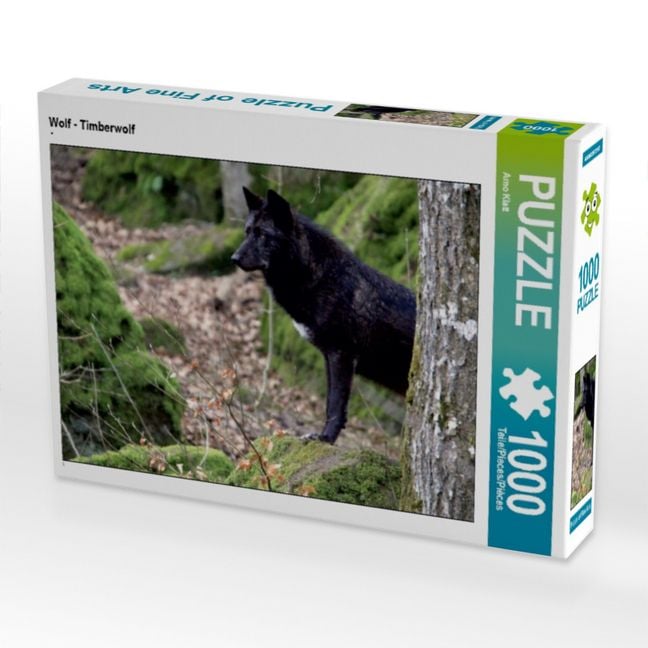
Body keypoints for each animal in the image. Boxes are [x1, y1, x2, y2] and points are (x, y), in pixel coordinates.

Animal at [231, 187, 416, 444]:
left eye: (263, 235)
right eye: (247, 232)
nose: (234, 258)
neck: (323, 278)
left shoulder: (341, 355)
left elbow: (335, 405)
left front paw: (326, 438)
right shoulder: (328, 357)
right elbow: (330, 403)